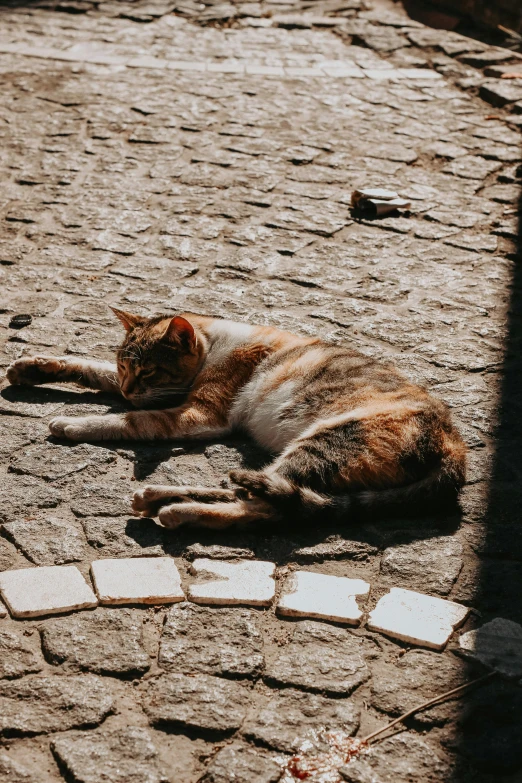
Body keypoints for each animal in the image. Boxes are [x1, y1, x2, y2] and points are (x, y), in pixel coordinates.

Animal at [6, 310, 466, 528]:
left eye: (149, 371)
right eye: (124, 365)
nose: (129, 389)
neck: (216, 342)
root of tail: (456, 450)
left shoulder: (195, 413)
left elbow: (131, 421)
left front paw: (73, 423)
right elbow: (88, 367)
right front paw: (32, 367)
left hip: (327, 441)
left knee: (263, 505)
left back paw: (176, 509)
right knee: (258, 495)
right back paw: (160, 498)